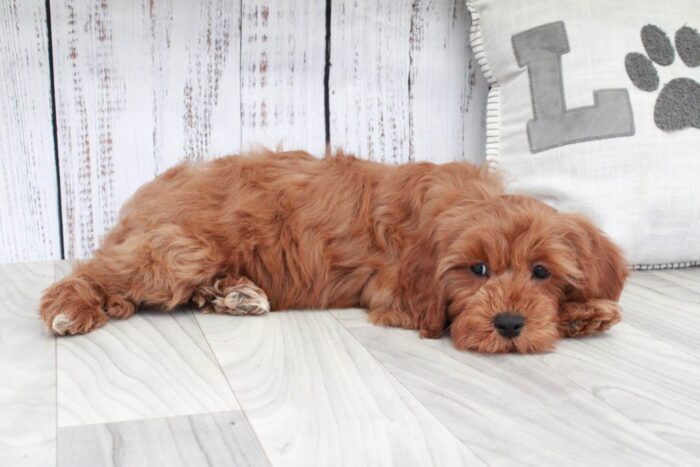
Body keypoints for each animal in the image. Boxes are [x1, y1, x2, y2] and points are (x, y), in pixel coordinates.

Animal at [39, 151, 628, 354]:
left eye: (542, 272)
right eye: (477, 269)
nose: (508, 324)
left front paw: (586, 311)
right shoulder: (394, 294)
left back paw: (236, 294)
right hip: (177, 250)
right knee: (100, 271)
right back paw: (70, 307)